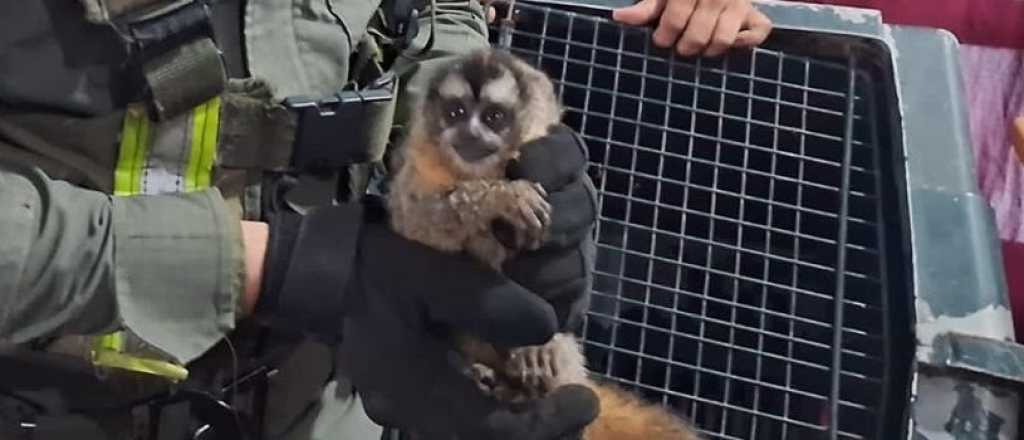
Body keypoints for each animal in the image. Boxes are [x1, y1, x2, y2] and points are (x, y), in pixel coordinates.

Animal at [386, 47, 702, 440]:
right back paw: (481, 375)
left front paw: (538, 348)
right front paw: (504, 199)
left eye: (493, 117)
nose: (469, 134)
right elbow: (415, 219)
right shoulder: (419, 163)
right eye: (456, 112)